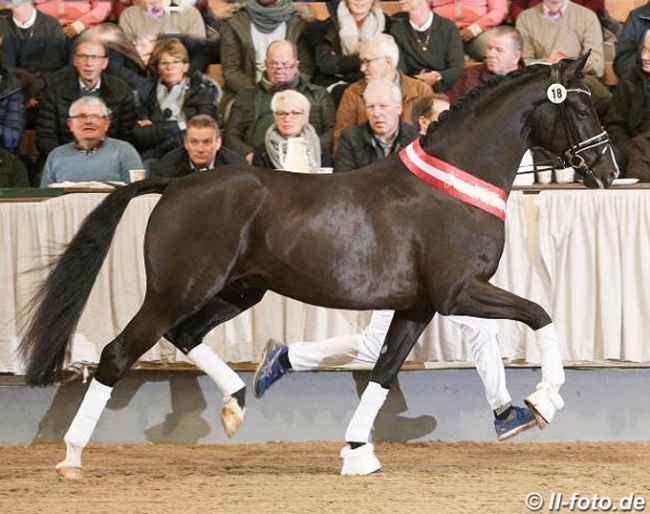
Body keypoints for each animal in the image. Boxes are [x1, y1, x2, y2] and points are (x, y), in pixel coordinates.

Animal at [20, 54, 616, 474]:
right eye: (580, 106)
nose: (608, 171)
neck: (453, 185)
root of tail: (175, 184)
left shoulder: (418, 306)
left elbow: (383, 370)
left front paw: (358, 452)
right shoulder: (457, 293)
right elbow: (539, 313)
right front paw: (543, 400)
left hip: (240, 290)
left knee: (186, 336)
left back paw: (238, 402)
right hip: (176, 290)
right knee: (118, 353)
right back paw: (71, 457)